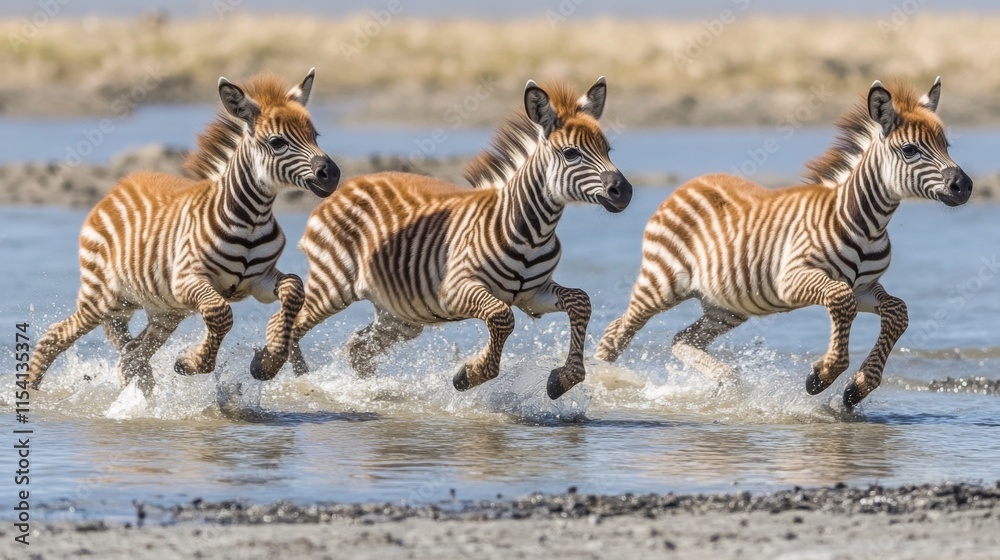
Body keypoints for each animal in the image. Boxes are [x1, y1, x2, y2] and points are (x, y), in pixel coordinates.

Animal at [27, 69, 340, 396]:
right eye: (277, 142)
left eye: (314, 136)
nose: (332, 174)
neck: (252, 219)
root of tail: (118, 187)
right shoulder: (186, 279)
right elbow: (219, 313)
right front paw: (190, 362)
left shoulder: (260, 281)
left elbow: (294, 289)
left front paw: (267, 363)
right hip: (102, 298)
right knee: (54, 336)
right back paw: (30, 393)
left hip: (163, 312)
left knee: (132, 355)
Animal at [288, 78, 632, 400]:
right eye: (571, 153)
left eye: (607, 150)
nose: (624, 191)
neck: (531, 231)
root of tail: (346, 186)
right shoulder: (454, 290)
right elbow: (501, 316)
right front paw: (470, 373)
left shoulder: (534, 295)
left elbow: (580, 301)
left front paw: (563, 378)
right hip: (332, 286)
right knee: (291, 324)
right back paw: (295, 378)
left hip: (399, 315)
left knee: (357, 347)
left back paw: (370, 390)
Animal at [595, 77, 972, 410]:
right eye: (910, 150)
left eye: (946, 146)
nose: (965, 186)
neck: (866, 223)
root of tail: (688, 184)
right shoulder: (793, 280)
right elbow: (841, 299)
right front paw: (822, 375)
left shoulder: (866, 287)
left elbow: (898, 311)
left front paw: (858, 388)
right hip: (661, 284)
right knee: (615, 334)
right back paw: (598, 383)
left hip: (725, 306)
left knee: (682, 340)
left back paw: (725, 383)